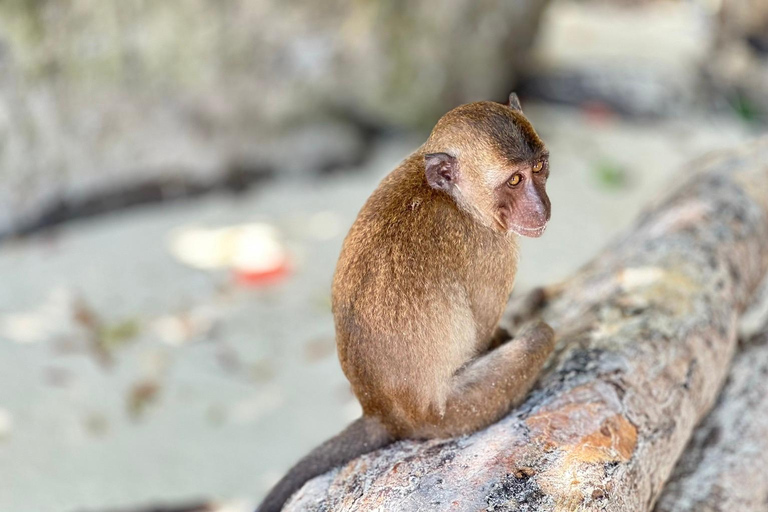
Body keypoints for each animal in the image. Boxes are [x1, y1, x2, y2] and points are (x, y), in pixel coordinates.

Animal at [256, 92, 552, 512]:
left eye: (539, 167)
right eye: (514, 179)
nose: (542, 208)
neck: (452, 197)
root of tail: (383, 414)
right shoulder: (492, 248)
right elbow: (482, 332)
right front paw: (502, 333)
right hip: (448, 415)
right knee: (541, 336)